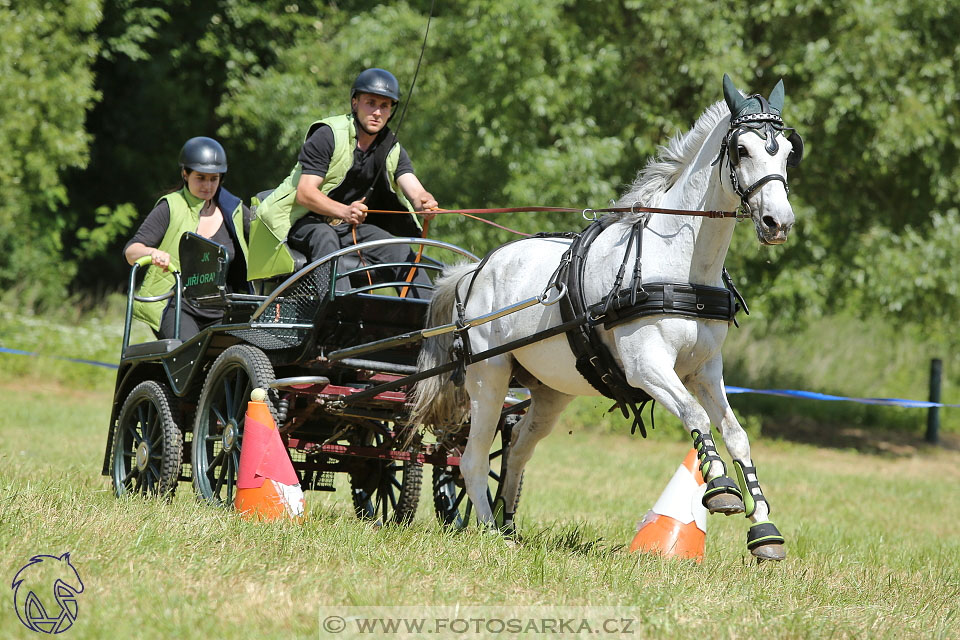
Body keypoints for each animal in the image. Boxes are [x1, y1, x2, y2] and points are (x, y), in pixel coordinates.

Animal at [412, 75, 804, 560]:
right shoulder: (647, 366)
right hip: (490, 376)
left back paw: (508, 525)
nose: (778, 222)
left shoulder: (706, 370)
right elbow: (694, 415)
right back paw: (488, 531)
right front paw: (721, 490)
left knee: (518, 448)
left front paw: (764, 528)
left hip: (551, 392)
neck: (679, 263)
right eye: (742, 150)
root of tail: (476, 270)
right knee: (471, 458)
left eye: (786, 152)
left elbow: (736, 434)